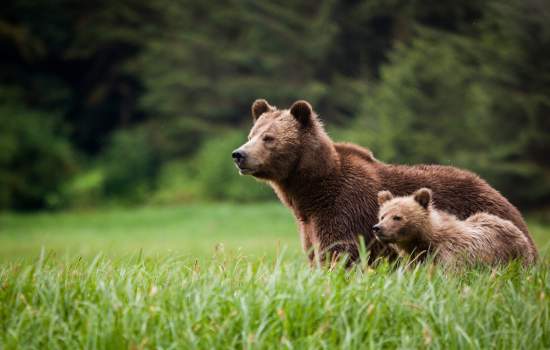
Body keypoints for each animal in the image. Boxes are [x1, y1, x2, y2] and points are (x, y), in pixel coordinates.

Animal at [232, 100, 540, 264]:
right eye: (252, 133)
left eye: (269, 138)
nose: (239, 154)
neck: (309, 192)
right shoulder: (308, 224)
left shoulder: (343, 209)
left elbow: (340, 254)